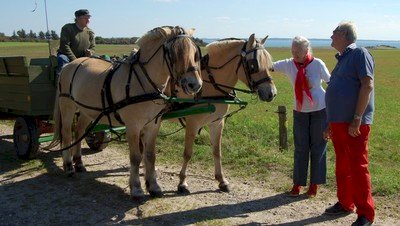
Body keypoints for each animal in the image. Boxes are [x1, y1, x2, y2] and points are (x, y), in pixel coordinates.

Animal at [47, 26, 203, 199]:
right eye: (175, 53)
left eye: (195, 53)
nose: (195, 85)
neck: (144, 81)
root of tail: (69, 65)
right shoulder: (133, 126)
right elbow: (135, 157)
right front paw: (136, 188)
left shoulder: (153, 125)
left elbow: (150, 155)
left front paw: (154, 186)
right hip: (67, 106)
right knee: (67, 134)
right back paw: (69, 166)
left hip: (87, 111)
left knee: (79, 131)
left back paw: (79, 163)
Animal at [170, 34, 276, 193]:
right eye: (253, 65)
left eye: (270, 65)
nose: (272, 93)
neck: (210, 85)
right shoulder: (192, 124)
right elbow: (188, 153)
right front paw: (182, 182)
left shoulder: (217, 122)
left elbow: (217, 151)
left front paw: (221, 180)